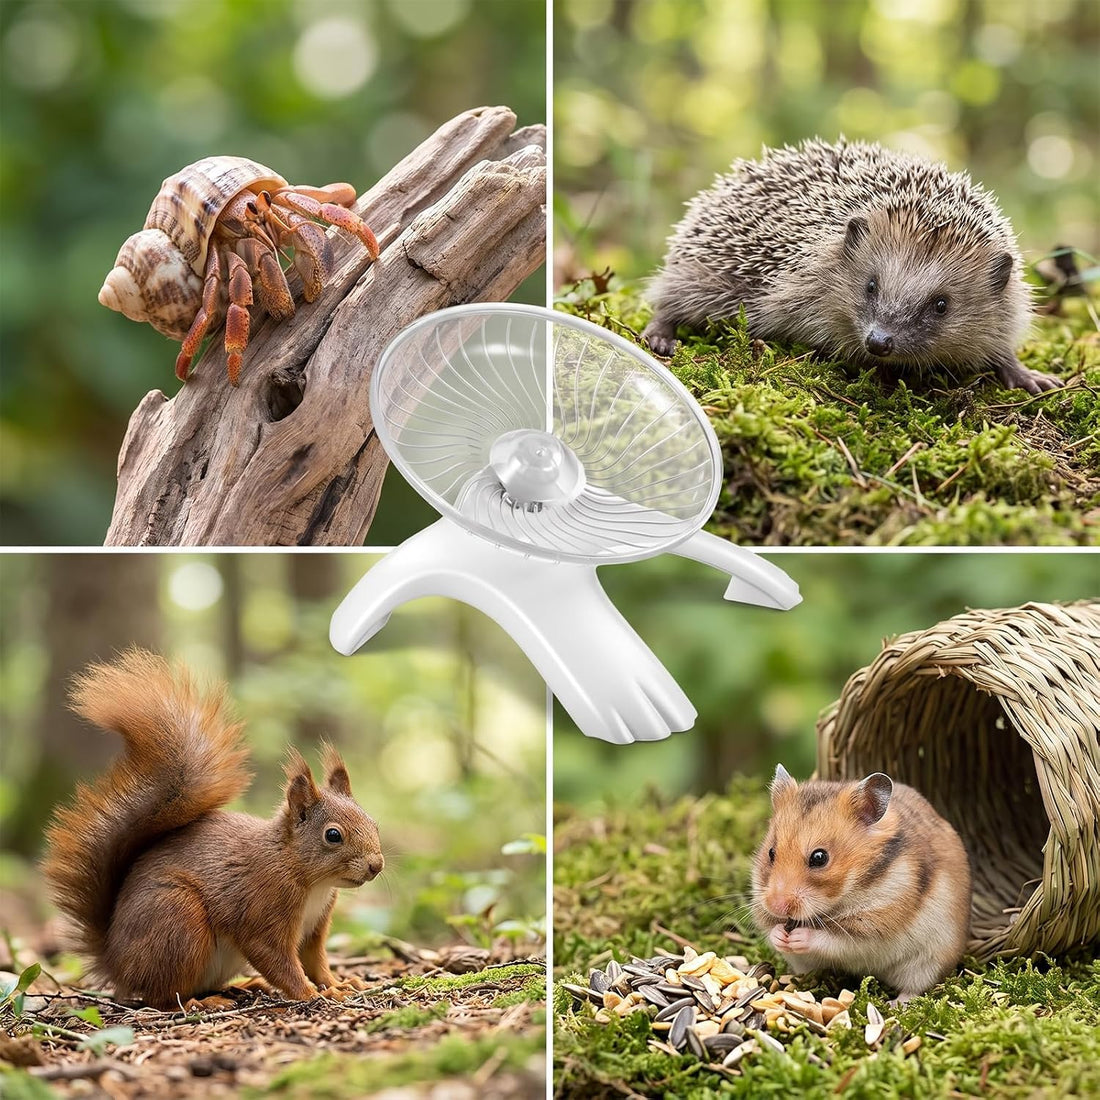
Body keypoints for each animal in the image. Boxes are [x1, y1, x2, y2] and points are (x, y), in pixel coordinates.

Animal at [751, 765, 971, 1001]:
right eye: (771, 853)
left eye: (819, 857)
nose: (776, 905)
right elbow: (771, 928)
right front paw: (780, 936)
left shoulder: (873, 926)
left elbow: (832, 938)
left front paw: (798, 937)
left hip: (929, 961)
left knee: (914, 989)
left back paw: (897, 1003)